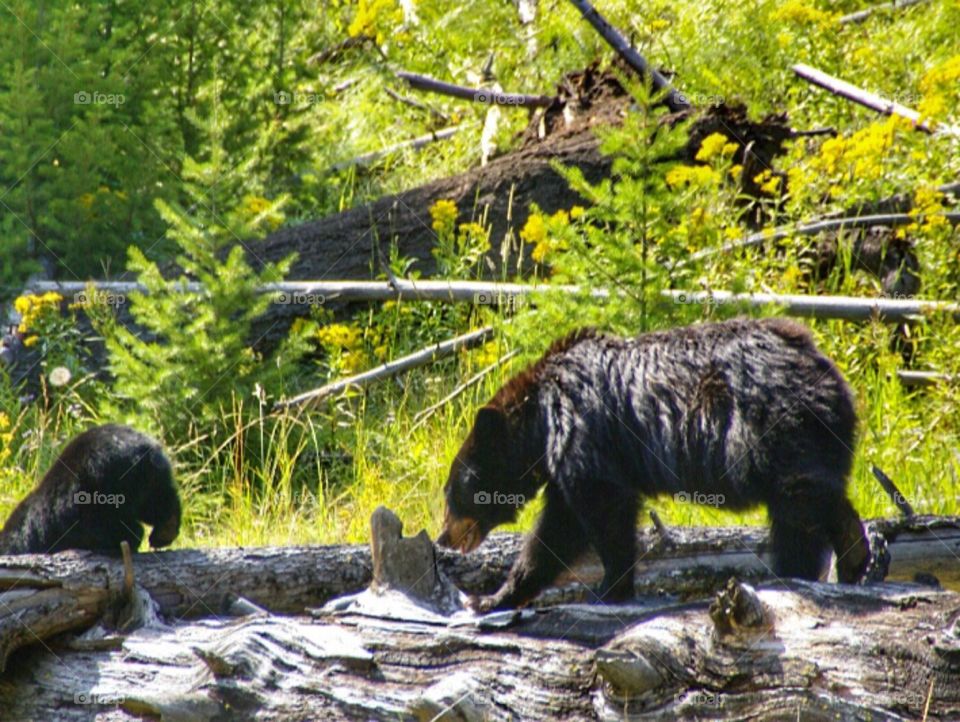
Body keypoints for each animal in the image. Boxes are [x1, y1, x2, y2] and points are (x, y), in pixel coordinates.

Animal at [437, 317, 870, 612]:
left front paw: (608, 587)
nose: (443, 538)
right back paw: (824, 563)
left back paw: (826, 561)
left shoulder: (583, 433)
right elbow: (563, 526)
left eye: (453, 491)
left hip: (775, 428)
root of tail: (824, 367)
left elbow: (597, 512)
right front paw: (495, 597)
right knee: (805, 508)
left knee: (802, 500)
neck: (541, 420)